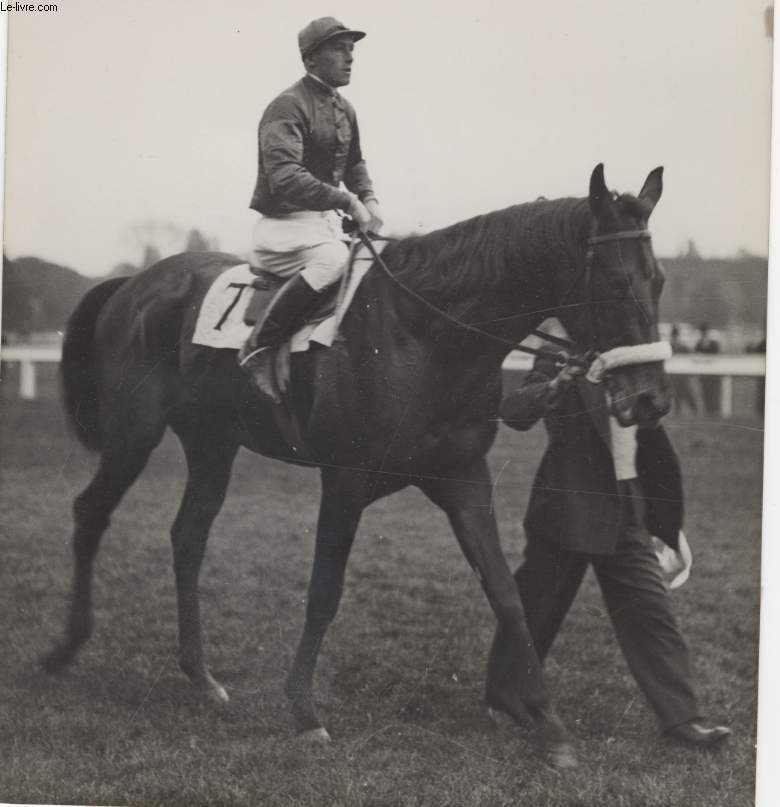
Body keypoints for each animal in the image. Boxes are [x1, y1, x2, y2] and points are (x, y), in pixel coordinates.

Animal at [41, 164, 672, 772]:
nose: (649, 399)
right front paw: (303, 710)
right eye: (616, 283)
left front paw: (549, 725)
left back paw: (201, 677)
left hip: (212, 444)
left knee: (188, 537)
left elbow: (506, 594)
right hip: (134, 436)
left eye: (660, 280)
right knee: (91, 513)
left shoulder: (464, 477)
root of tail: (136, 283)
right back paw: (64, 648)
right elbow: (325, 589)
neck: (424, 333)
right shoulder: (344, 480)